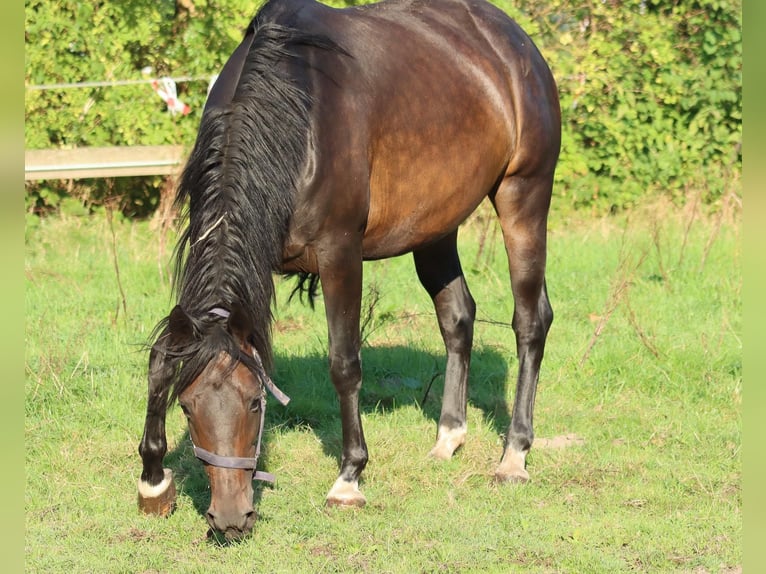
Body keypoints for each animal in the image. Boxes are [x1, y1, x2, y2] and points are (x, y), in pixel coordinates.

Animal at [138, 0, 560, 544]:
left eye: (255, 404)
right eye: (187, 408)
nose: (231, 520)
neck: (294, 120)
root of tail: (516, 41)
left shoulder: (340, 253)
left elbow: (344, 364)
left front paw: (349, 479)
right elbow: (160, 361)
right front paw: (153, 482)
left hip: (523, 196)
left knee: (530, 321)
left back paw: (513, 456)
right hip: (435, 226)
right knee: (457, 317)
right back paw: (449, 436)